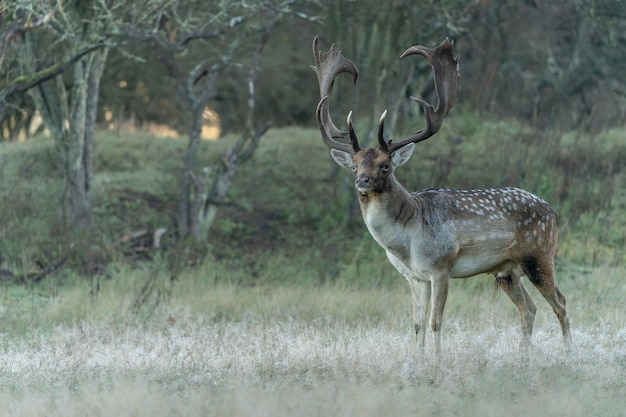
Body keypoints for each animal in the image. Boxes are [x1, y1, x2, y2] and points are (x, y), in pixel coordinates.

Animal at [310, 37, 568, 352]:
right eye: (355, 164)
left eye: (385, 166)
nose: (362, 180)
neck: (407, 244)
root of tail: (553, 211)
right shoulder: (413, 276)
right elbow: (417, 325)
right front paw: (417, 361)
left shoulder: (441, 267)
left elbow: (436, 323)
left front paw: (436, 362)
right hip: (506, 270)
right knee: (529, 308)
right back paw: (523, 357)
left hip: (539, 255)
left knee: (560, 303)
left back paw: (568, 355)